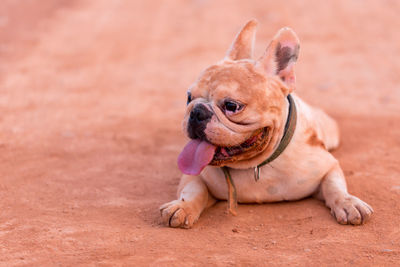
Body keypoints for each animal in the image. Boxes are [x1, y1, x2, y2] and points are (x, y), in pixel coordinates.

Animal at [159, 19, 372, 228]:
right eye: (189, 97)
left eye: (231, 106)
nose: (197, 112)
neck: (256, 165)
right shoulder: (194, 175)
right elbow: (193, 191)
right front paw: (182, 207)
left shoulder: (327, 166)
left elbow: (334, 186)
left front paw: (347, 203)